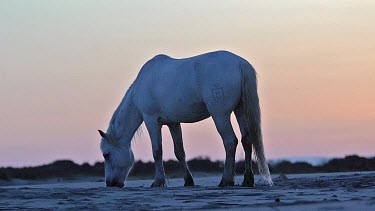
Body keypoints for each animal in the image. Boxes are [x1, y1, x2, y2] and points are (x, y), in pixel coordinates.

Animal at [99, 50, 274, 187]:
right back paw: (247, 180)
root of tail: (239, 63)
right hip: (240, 111)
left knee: (230, 142)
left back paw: (226, 180)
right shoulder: (173, 123)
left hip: (220, 115)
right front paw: (188, 181)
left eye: (106, 155)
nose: (110, 183)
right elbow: (179, 152)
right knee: (246, 140)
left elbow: (157, 151)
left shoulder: (151, 121)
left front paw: (158, 181)